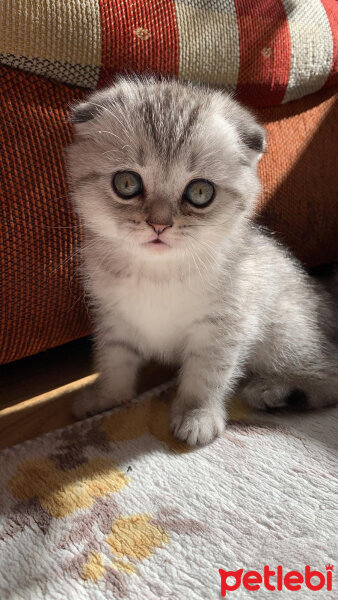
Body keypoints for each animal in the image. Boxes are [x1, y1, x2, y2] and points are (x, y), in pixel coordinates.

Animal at [67, 76, 336, 446]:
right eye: (126, 183)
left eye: (199, 192)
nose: (159, 224)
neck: (158, 274)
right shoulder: (114, 319)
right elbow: (115, 361)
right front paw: (105, 397)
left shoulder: (222, 326)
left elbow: (205, 375)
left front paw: (197, 416)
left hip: (282, 333)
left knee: (328, 372)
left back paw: (274, 391)